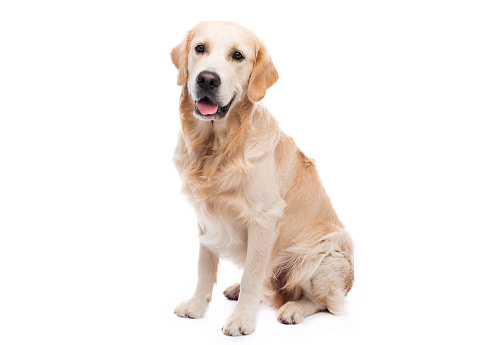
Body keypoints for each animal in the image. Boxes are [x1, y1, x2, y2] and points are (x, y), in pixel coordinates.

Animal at [172, 20, 356, 334]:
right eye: (200, 48)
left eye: (237, 55)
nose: (207, 79)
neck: (217, 148)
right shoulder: (207, 217)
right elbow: (205, 267)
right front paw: (197, 306)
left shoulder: (264, 219)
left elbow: (253, 275)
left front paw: (242, 320)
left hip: (325, 252)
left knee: (320, 301)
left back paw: (293, 308)